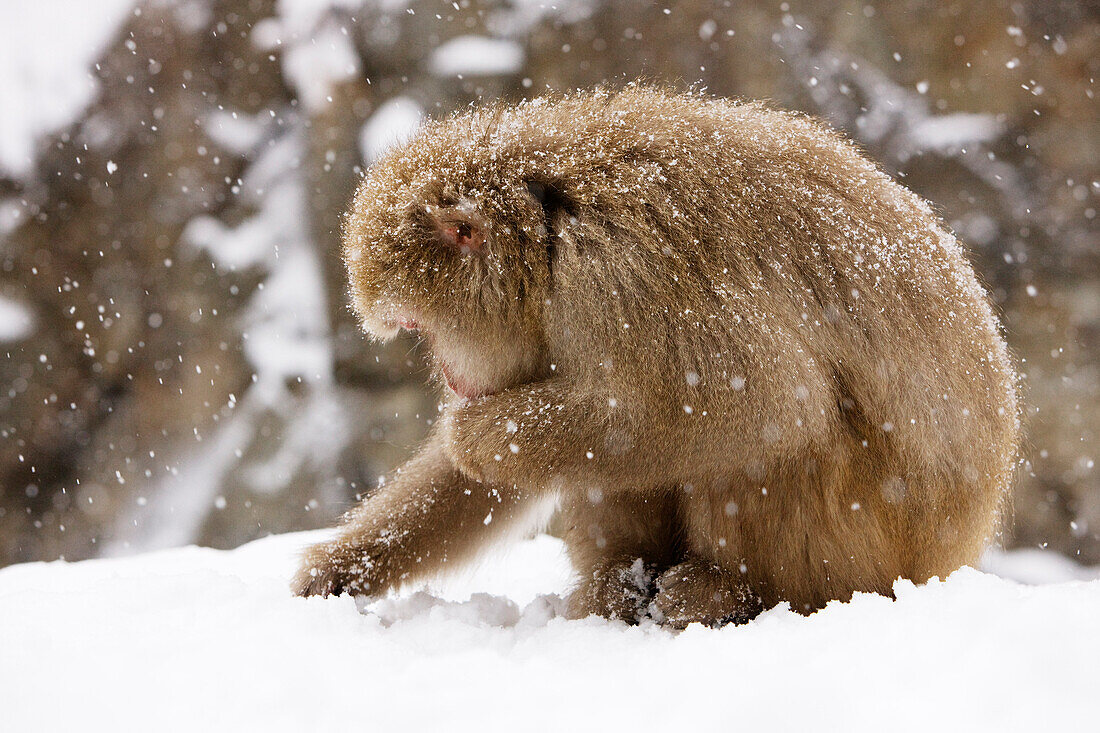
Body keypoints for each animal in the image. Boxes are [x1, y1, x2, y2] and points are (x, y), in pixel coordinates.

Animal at [290, 84, 1012, 620]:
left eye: (419, 328)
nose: (446, 371)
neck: (549, 233)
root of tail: (954, 552)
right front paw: (346, 568)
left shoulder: (625, 273)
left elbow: (770, 399)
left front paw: (476, 435)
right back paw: (620, 583)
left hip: (868, 541)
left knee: (768, 442)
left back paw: (731, 592)